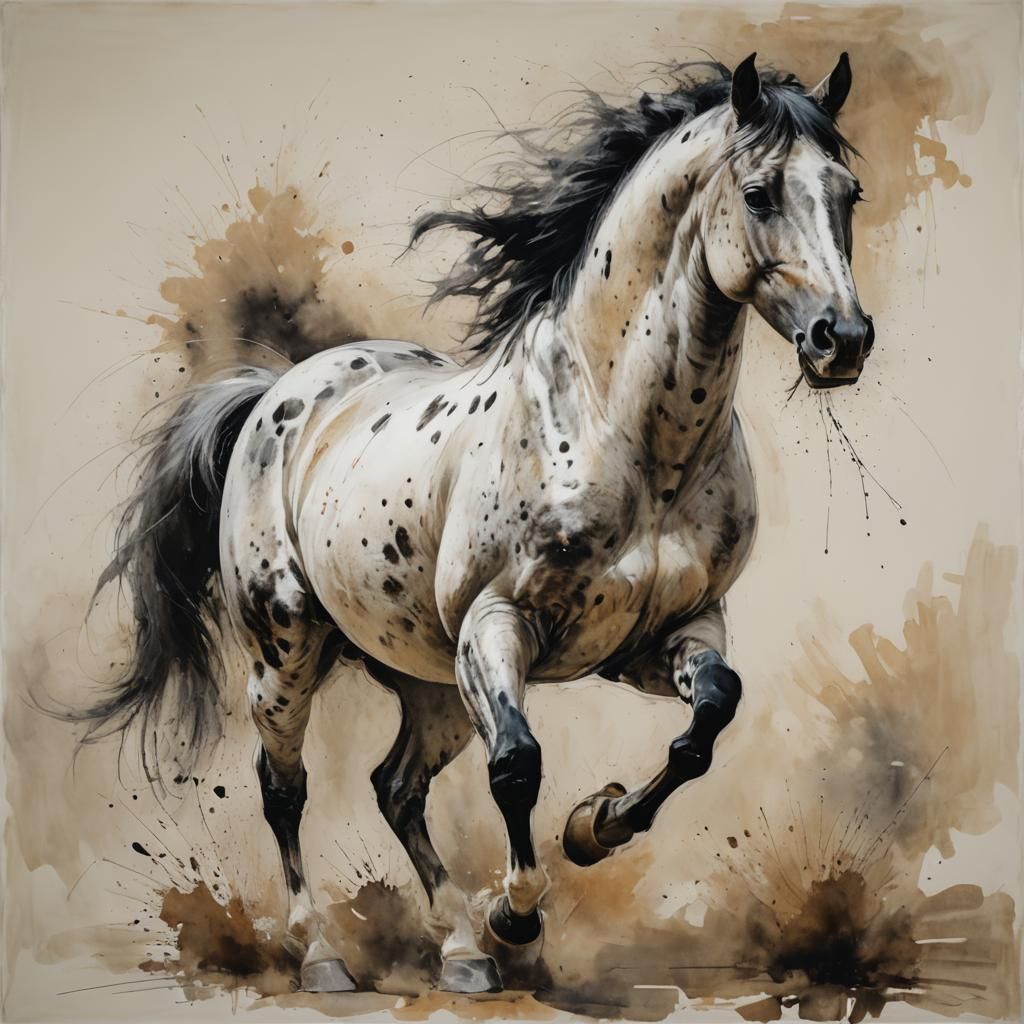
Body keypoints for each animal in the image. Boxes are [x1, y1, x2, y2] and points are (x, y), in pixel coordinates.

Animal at [78, 52, 875, 994]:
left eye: (850, 193)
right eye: (757, 194)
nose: (843, 339)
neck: (626, 437)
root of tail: (277, 391)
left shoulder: (664, 635)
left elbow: (710, 719)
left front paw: (595, 825)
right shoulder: (499, 626)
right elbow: (518, 766)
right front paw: (516, 913)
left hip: (430, 681)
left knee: (395, 787)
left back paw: (459, 952)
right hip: (290, 654)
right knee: (285, 788)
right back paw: (325, 956)